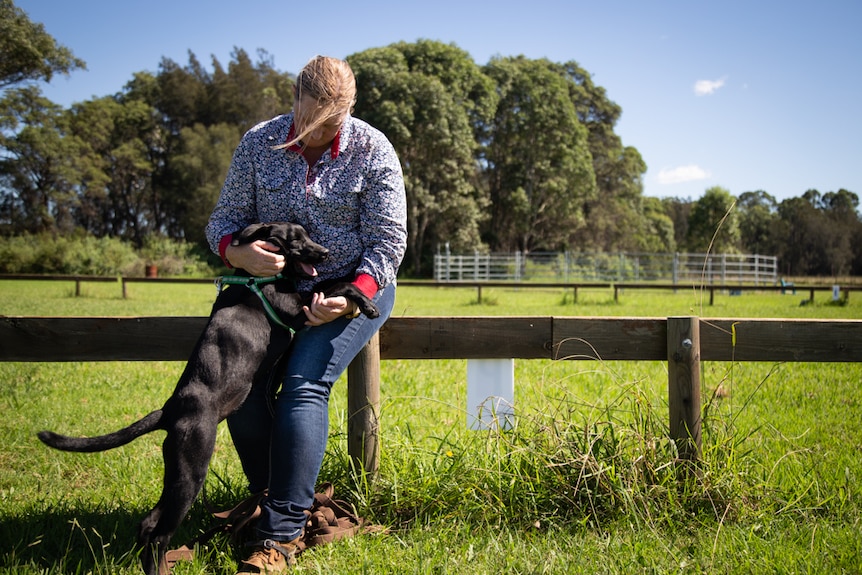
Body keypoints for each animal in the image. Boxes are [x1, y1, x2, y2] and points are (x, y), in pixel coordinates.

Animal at [36, 223, 382, 575]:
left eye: (308, 234)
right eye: (294, 239)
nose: (324, 253)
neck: (259, 279)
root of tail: (169, 410)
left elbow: (331, 283)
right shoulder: (299, 310)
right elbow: (335, 285)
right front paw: (368, 303)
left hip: (177, 471)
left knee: (148, 524)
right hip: (192, 467)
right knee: (159, 532)